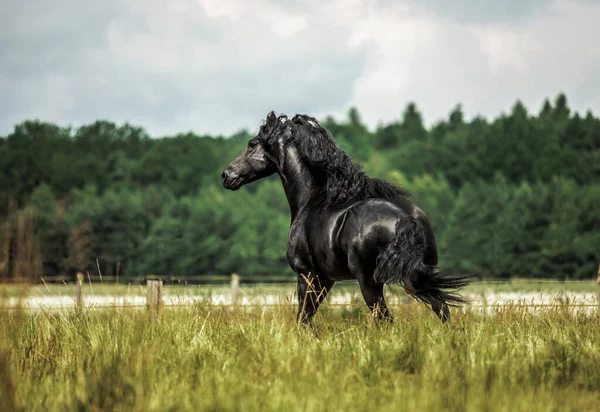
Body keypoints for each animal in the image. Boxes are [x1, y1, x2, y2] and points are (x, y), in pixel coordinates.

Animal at [223, 111, 472, 324]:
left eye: (251, 144)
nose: (226, 175)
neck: (312, 200)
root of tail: (406, 219)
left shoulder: (307, 275)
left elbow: (303, 319)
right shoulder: (326, 279)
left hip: (370, 282)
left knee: (385, 319)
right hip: (418, 276)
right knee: (443, 310)